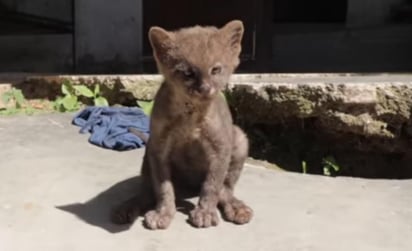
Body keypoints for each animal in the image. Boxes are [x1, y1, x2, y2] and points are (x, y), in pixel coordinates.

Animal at [111, 20, 251, 229]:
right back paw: (126, 209)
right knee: (146, 192)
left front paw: (205, 213)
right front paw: (163, 213)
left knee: (225, 190)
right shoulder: (159, 148)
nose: (205, 88)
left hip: (240, 140)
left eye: (215, 70)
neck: (191, 116)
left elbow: (212, 186)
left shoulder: (220, 148)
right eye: (188, 73)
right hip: (148, 152)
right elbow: (163, 187)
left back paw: (237, 208)